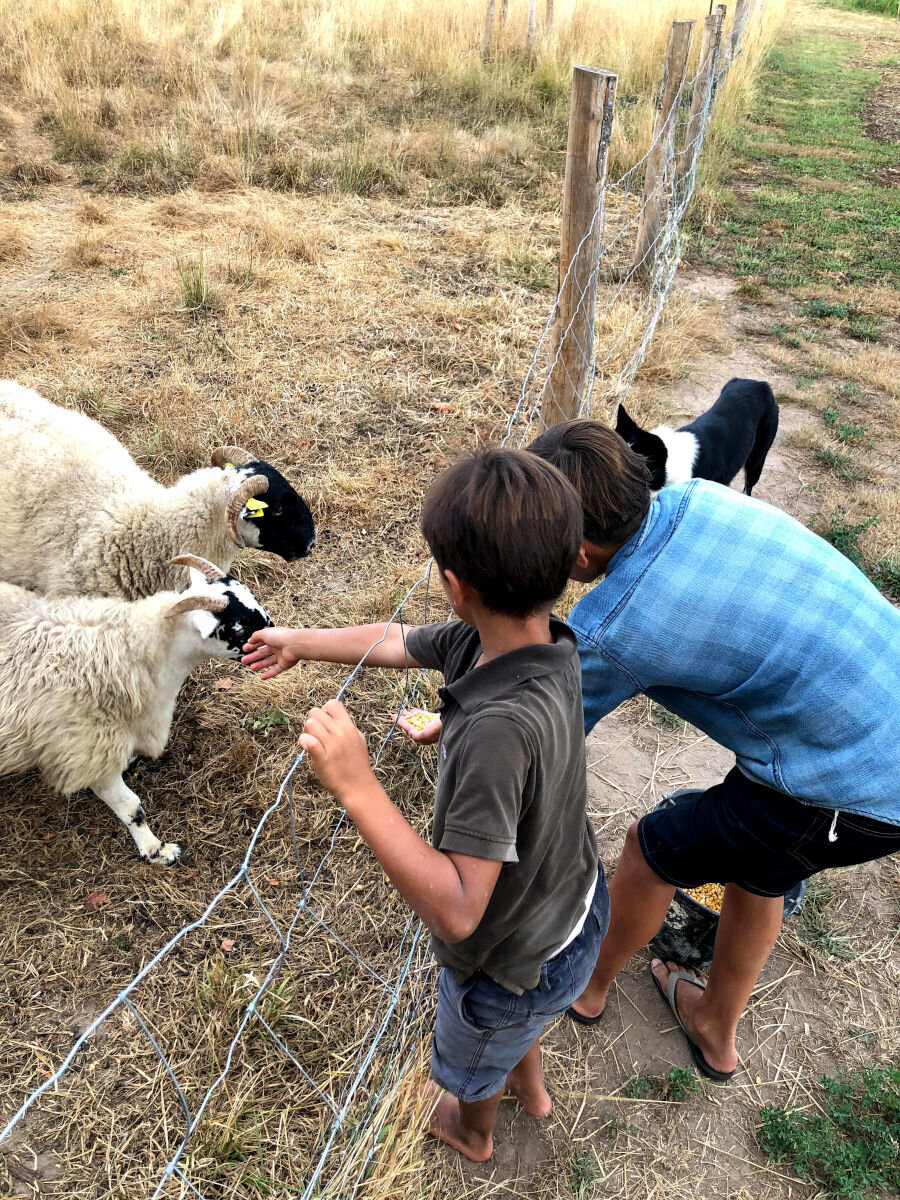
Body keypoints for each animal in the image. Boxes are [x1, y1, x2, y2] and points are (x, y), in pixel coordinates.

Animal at [0, 552, 274, 864]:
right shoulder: (89, 754)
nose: (276, 634)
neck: (127, 652)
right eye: (239, 627)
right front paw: (157, 850)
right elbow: (132, 808)